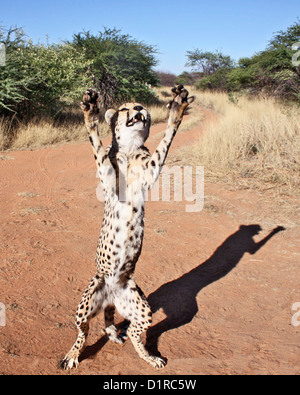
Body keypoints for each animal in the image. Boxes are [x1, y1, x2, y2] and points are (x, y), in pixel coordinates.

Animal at [60, 84, 196, 372]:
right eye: (125, 108)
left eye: (140, 105)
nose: (139, 110)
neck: (131, 150)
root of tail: (112, 295)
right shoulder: (108, 178)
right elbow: (99, 147)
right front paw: (90, 112)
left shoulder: (151, 173)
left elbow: (165, 143)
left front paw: (177, 108)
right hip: (90, 295)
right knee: (83, 331)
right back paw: (73, 354)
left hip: (142, 306)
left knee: (130, 329)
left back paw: (144, 352)